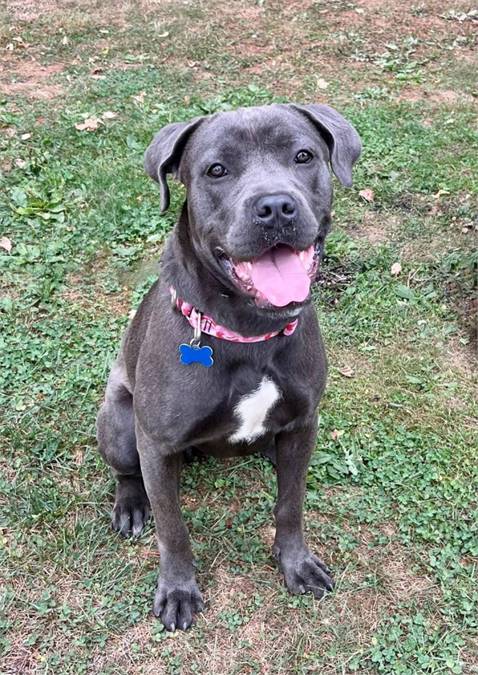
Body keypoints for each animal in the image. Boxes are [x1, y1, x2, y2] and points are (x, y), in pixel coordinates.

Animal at [96, 103, 358, 632]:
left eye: (303, 156)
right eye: (216, 170)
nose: (276, 206)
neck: (250, 331)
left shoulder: (304, 422)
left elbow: (290, 505)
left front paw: (296, 564)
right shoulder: (156, 445)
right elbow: (172, 528)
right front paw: (178, 591)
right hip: (118, 420)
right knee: (126, 472)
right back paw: (131, 505)